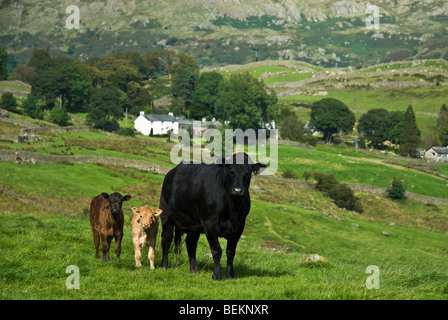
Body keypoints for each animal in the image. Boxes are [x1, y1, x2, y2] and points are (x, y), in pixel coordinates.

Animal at [159, 152, 264, 280]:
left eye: (248, 173)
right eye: (230, 171)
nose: (237, 190)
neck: (231, 207)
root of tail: (173, 171)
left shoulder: (239, 226)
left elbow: (231, 252)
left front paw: (229, 275)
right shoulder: (209, 224)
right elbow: (216, 251)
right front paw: (217, 275)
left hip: (193, 224)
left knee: (190, 243)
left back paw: (194, 270)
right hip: (166, 215)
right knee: (166, 240)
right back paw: (164, 265)